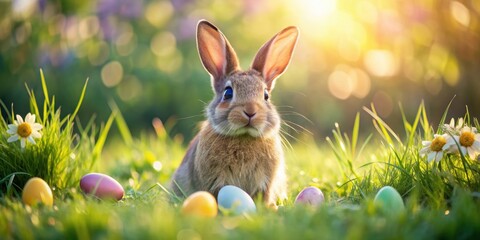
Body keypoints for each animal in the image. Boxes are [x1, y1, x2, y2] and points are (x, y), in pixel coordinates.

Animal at [172, 20, 300, 206]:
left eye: (266, 96)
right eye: (228, 93)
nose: (250, 111)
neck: (244, 136)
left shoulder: (266, 183)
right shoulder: (216, 182)